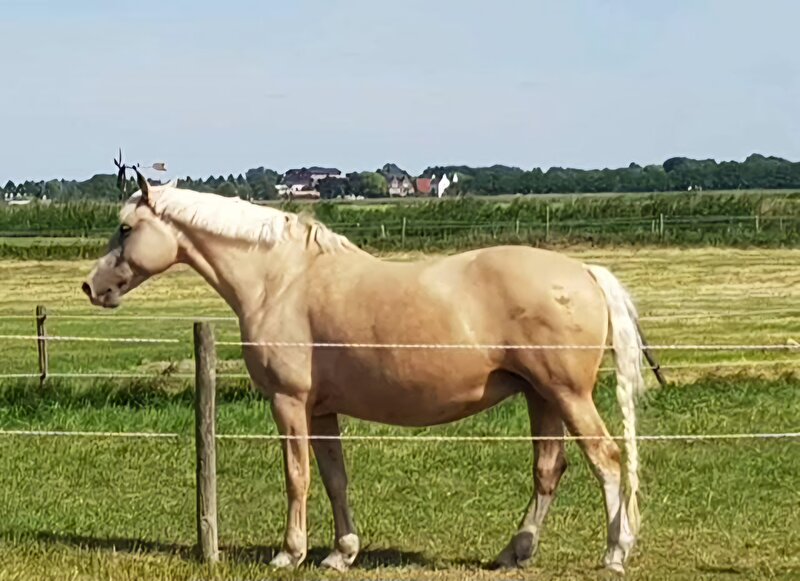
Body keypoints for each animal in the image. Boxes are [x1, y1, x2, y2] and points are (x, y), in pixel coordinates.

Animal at [84, 171, 664, 572]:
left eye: (126, 228)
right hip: (540, 397)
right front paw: (341, 553)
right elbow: (335, 478)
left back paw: (615, 553)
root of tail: (584, 271)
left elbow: (297, 476)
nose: (92, 287)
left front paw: (290, 554)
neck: (281, 279)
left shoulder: (288, 402)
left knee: (607, 461)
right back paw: (513, 553)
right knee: (549, 471)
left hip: (568, 395)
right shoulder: (322, 411)